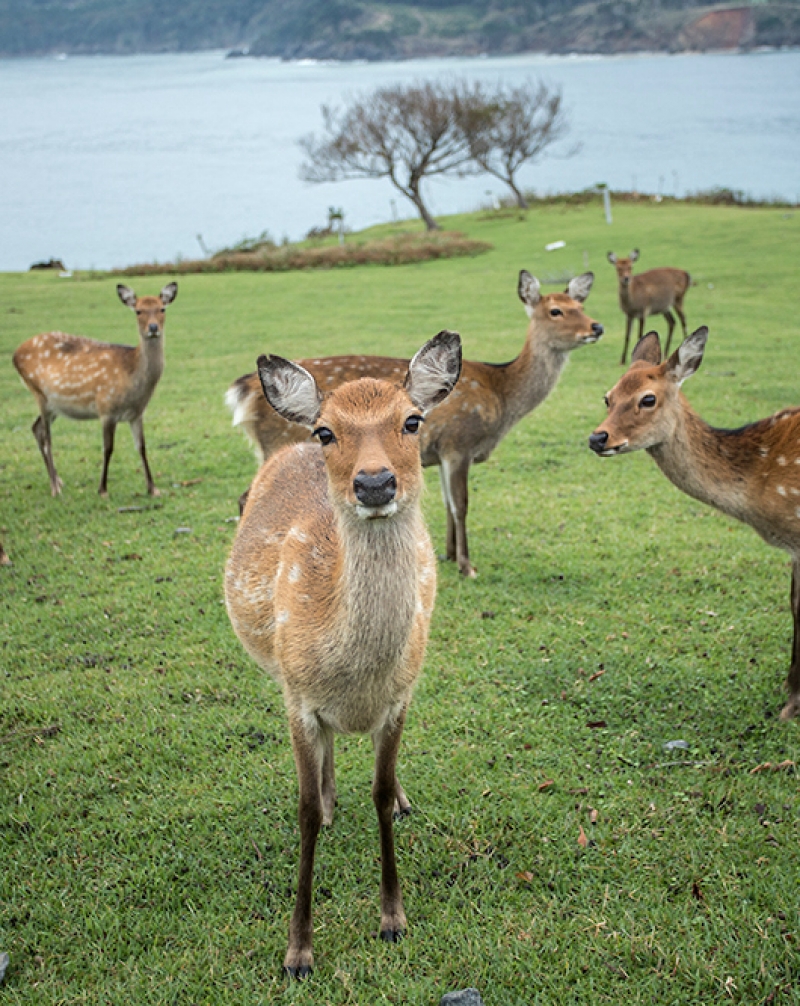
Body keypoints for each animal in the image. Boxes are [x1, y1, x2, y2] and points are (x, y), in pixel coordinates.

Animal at [12, 285, 178, 496]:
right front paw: (102, 490)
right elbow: (108, 448)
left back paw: (58, 481)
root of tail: (15, 354)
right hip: (39, 393)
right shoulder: (106, 408)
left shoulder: (136, 413)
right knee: (47, 438)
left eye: (162, 309)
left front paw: (153, 489)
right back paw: (55, 489)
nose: (153, 328)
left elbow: (141, 447)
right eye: (138, 311)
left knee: (36, 428)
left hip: (55, 405)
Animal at [225, 333, 462, 977]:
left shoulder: (399, 699)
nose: (374, 483)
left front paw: (393, 919)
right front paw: (298, 951)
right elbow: (304, 810)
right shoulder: (297, 700)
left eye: (412, 420)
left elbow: (378, 794)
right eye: (328, 431)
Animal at [228, 271, 603, 579]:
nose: (596, 327)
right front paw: (468, 566)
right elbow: (462, 504)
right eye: (556, 311)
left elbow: (449, 503)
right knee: (248, 496)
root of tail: (245, 391)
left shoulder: (440, 453)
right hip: (279, 444)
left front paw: (449, 555)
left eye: (581, 304)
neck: (502, 394)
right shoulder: (458, 442)